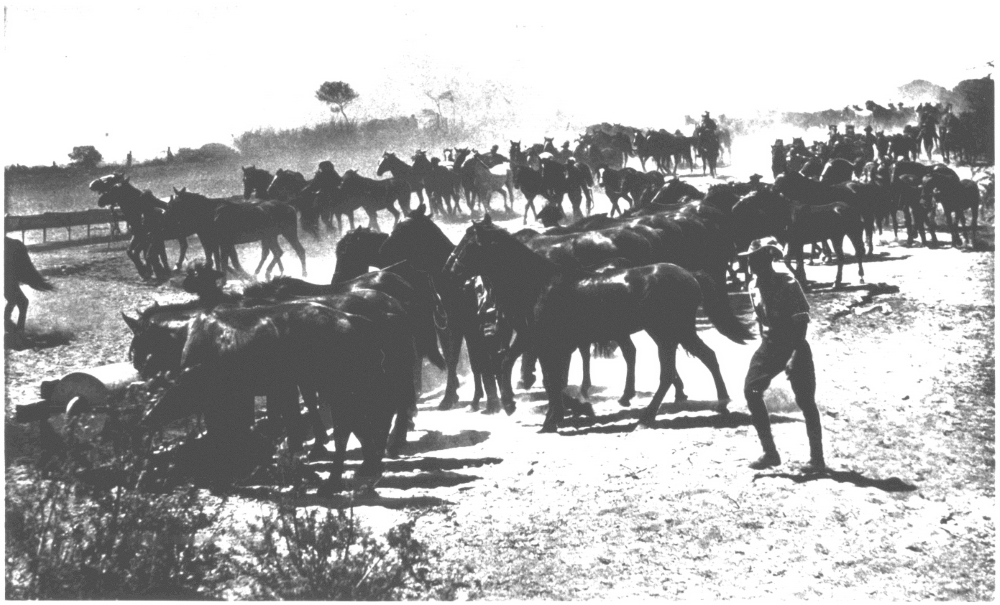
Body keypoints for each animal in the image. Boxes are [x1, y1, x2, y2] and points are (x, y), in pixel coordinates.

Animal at [446, 215, 752, 432]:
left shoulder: (547, 344)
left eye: (469, 244)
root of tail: (689, 274)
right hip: (678, 331)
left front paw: (551, 420)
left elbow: (550, 380)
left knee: (670, 373)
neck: (538, 284)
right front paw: (514, 405)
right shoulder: (530, 338)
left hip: (667, 333)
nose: (450, 270)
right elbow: (509, 365)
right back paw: (721, 403)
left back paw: (647, 417)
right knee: (707, 356)